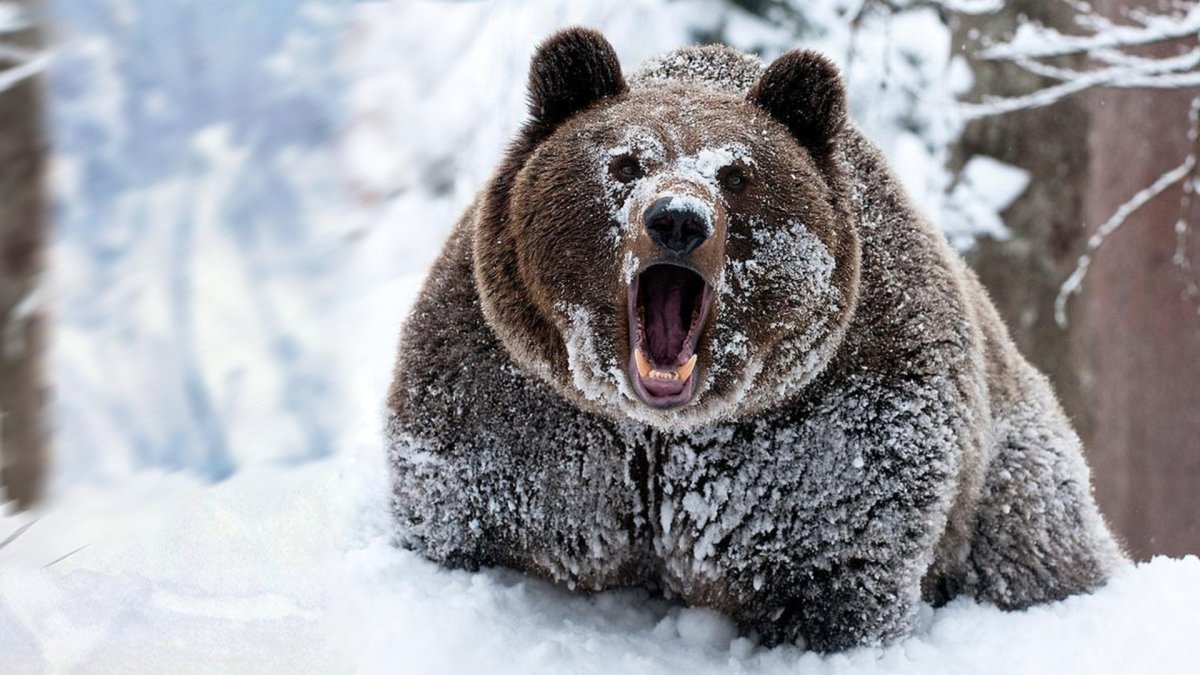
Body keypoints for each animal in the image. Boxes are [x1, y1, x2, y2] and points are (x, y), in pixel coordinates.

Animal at [385, 28, 1126, 652]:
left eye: (737, 174)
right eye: (625, 162)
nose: (677, 219)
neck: (662, 431)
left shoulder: (830, 425)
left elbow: (834, 564)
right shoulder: (520, 403)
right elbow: (468, 509)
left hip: (1013, 471)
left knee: (1033, 542)